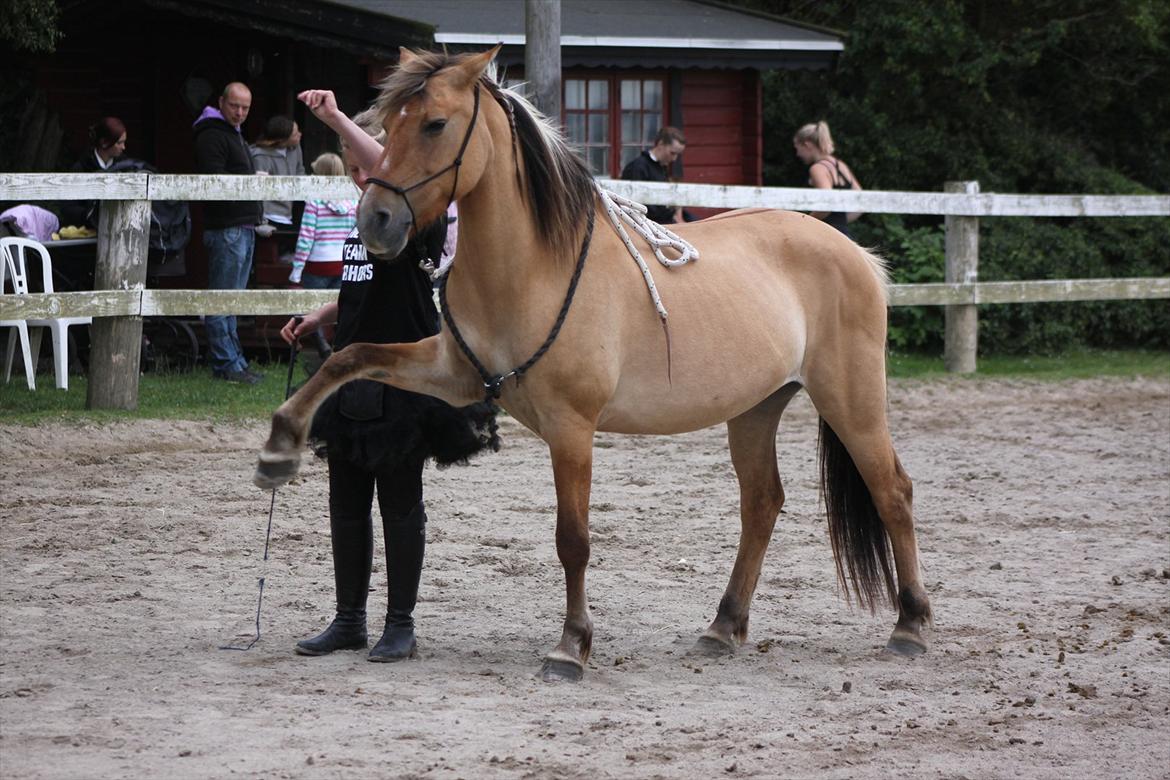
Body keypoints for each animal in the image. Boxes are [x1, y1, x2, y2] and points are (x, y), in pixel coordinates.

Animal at [256, 47, 931, 682]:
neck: (535, 267)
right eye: (387, 125)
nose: (377, 221)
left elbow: (573, 541)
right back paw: (723, 627)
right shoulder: (452, 375)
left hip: (850, 401)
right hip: (756, 409)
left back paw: (910, 626)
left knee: (892, 492)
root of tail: (856, 255)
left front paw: (570, 647)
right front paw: (279, 449)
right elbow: (349, 357)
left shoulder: (572, 429)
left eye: (435, 124)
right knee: (762, 503)